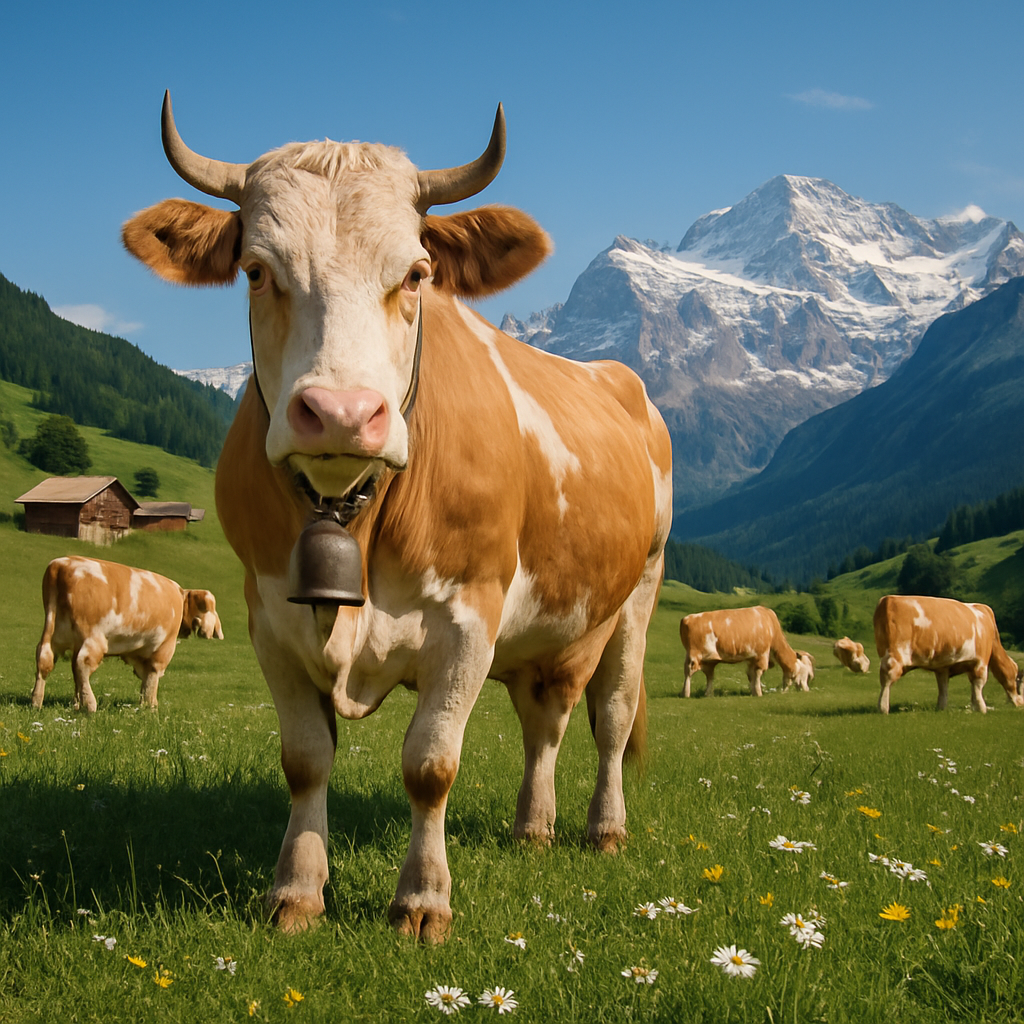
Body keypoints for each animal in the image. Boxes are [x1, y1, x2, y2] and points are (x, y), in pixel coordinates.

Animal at [31, 556, 223, 712]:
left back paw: (37, 702)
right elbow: (152, 677)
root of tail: (60, 565)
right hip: (93, 637)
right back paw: (90, 705)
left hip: (54, 635)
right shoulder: (163, 648)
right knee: (82, 664)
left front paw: (75, 703)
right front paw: (150, 707)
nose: (217, 633)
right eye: (210, 607)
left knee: (45, 660)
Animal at [121, 94, 672, 942]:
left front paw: (422, 900)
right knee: (543, 722)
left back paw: (603, 830)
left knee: (609, 717)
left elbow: (431, 764)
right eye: (257, 271)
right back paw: (533, 827)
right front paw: (297, 890)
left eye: (416, 274)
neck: (354, 510)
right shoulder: (267, 616)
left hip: (636, 597)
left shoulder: (470, 616)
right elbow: (306, 759)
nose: (342, 413)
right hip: (541, 637)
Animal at [679, 605, 813, 697]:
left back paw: (707, 694)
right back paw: (686, 693)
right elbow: (758, 673)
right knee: (689, 672)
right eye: (806, 674)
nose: (807, 690)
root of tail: (686, 619)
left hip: (706, 659)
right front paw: (759, 693)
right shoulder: (761, 655)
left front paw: (753, 691)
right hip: (695, 656)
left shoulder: (751, 658)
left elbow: (751, 675)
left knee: (708, 675)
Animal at [873, 594, 1023, 714]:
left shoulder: (942, 667)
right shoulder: (981, 660)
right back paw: (883, 708)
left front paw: (942, 707)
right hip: (894, 655)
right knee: (887, 678)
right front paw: (981, 708)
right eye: (1019, 681)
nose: (1021, 703)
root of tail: (887, 599)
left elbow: (943, 688)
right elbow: (978, 684)